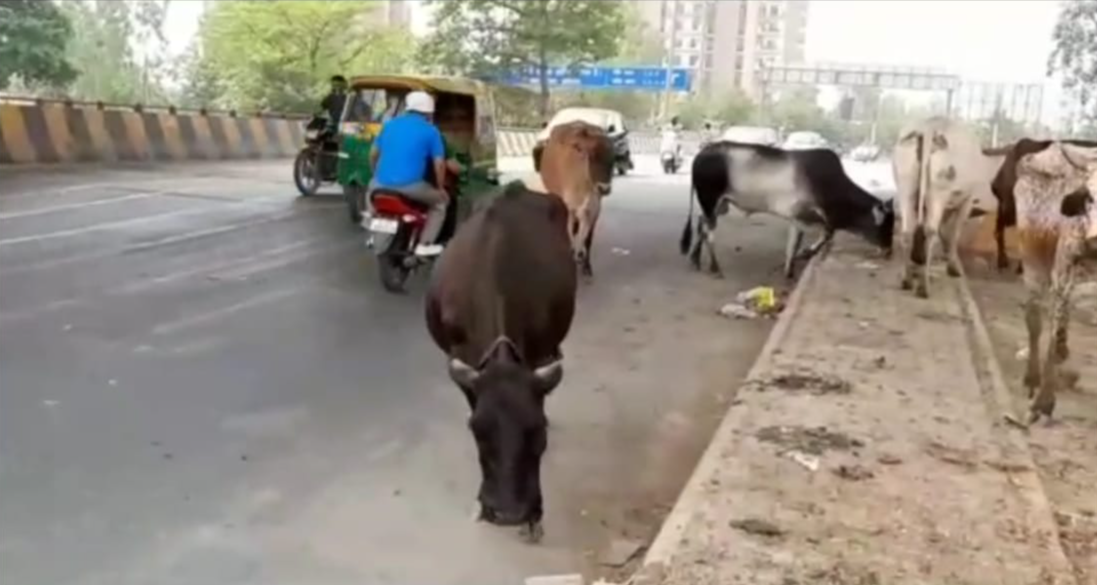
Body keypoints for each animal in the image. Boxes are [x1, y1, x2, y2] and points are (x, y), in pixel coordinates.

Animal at [537, 119, 618, 279]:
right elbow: (569, 232)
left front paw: (586, 266)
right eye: (591, 155)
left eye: (613, 157)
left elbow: (587, 238)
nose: (604, 188)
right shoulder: (568, 207)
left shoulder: (594, 209)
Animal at [680, 140, 895, 279]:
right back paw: (715, 267)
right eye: (885, 227)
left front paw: (790, 269)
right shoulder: (809, 217)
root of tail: (701, 154)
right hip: (710, 200)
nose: (888, 251)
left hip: (720, 205)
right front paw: (804, 255)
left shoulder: (798, 218)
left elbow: (797, 243)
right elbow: (825, 235)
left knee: (701, 222)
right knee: (709, 231)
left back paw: (695, 259)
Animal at [890, 115, 1004, 296]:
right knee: (930, 231)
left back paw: (907, 279)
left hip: (905, 185)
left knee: (908, 231)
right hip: (939, 190)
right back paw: (924, 286)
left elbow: (943, 230)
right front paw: (954, 266)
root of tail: (928, 127)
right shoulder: (967, 200)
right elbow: (953, 233)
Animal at [1009, 141, 1097, 423]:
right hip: (1033, 260)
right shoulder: (1064, 268)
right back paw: (1033, 378)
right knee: (1036, 319)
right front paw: (1044, 402)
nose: (1095, 240)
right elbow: (1054, 329)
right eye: (1089, 197)